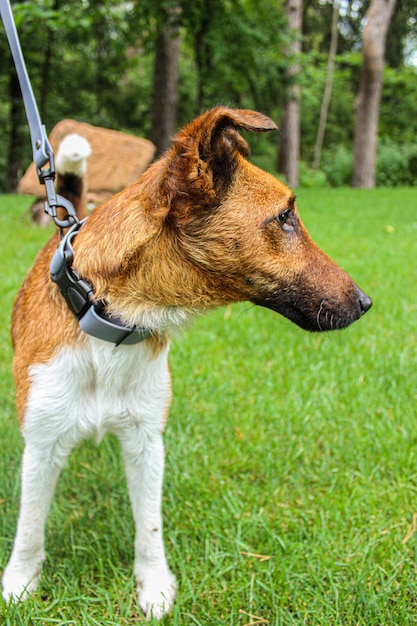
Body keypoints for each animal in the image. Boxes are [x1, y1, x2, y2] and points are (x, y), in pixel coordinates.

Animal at [0, 108, 370, 620]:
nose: (366, 302)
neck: (107, 319)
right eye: (285, 217)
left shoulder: (145, 441)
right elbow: (30, 524)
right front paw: (20, 582)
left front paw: (153, 584)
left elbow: (149, 525)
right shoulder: (42, 443)